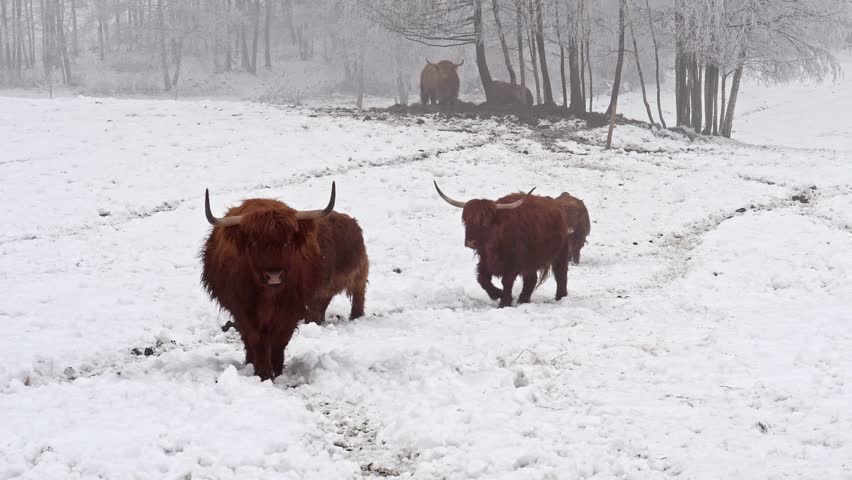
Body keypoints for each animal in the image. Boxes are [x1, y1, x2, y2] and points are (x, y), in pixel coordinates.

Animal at [201, 182, 369, 380]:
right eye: (253, 243)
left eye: (288, 242)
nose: (274, 275)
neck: (269, 296)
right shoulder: (242, 309)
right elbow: (256, 339)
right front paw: (264, 374)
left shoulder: (292, 308)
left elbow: (281, 339)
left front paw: (277, 369)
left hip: (356, 275)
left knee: (356, 295)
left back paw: (355, 315)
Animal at [434, 181, 575, 308]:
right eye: (466, 221)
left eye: (484, 222)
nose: (470, 242)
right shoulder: (485, 261)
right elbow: (482, 279)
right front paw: (497, 294)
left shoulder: (513, 263)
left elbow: (506, 281)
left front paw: (504, 302)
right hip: (532, 259)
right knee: (531, 279)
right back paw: (523, 300)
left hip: (560, 254)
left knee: (561, 274)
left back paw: (560, 297)